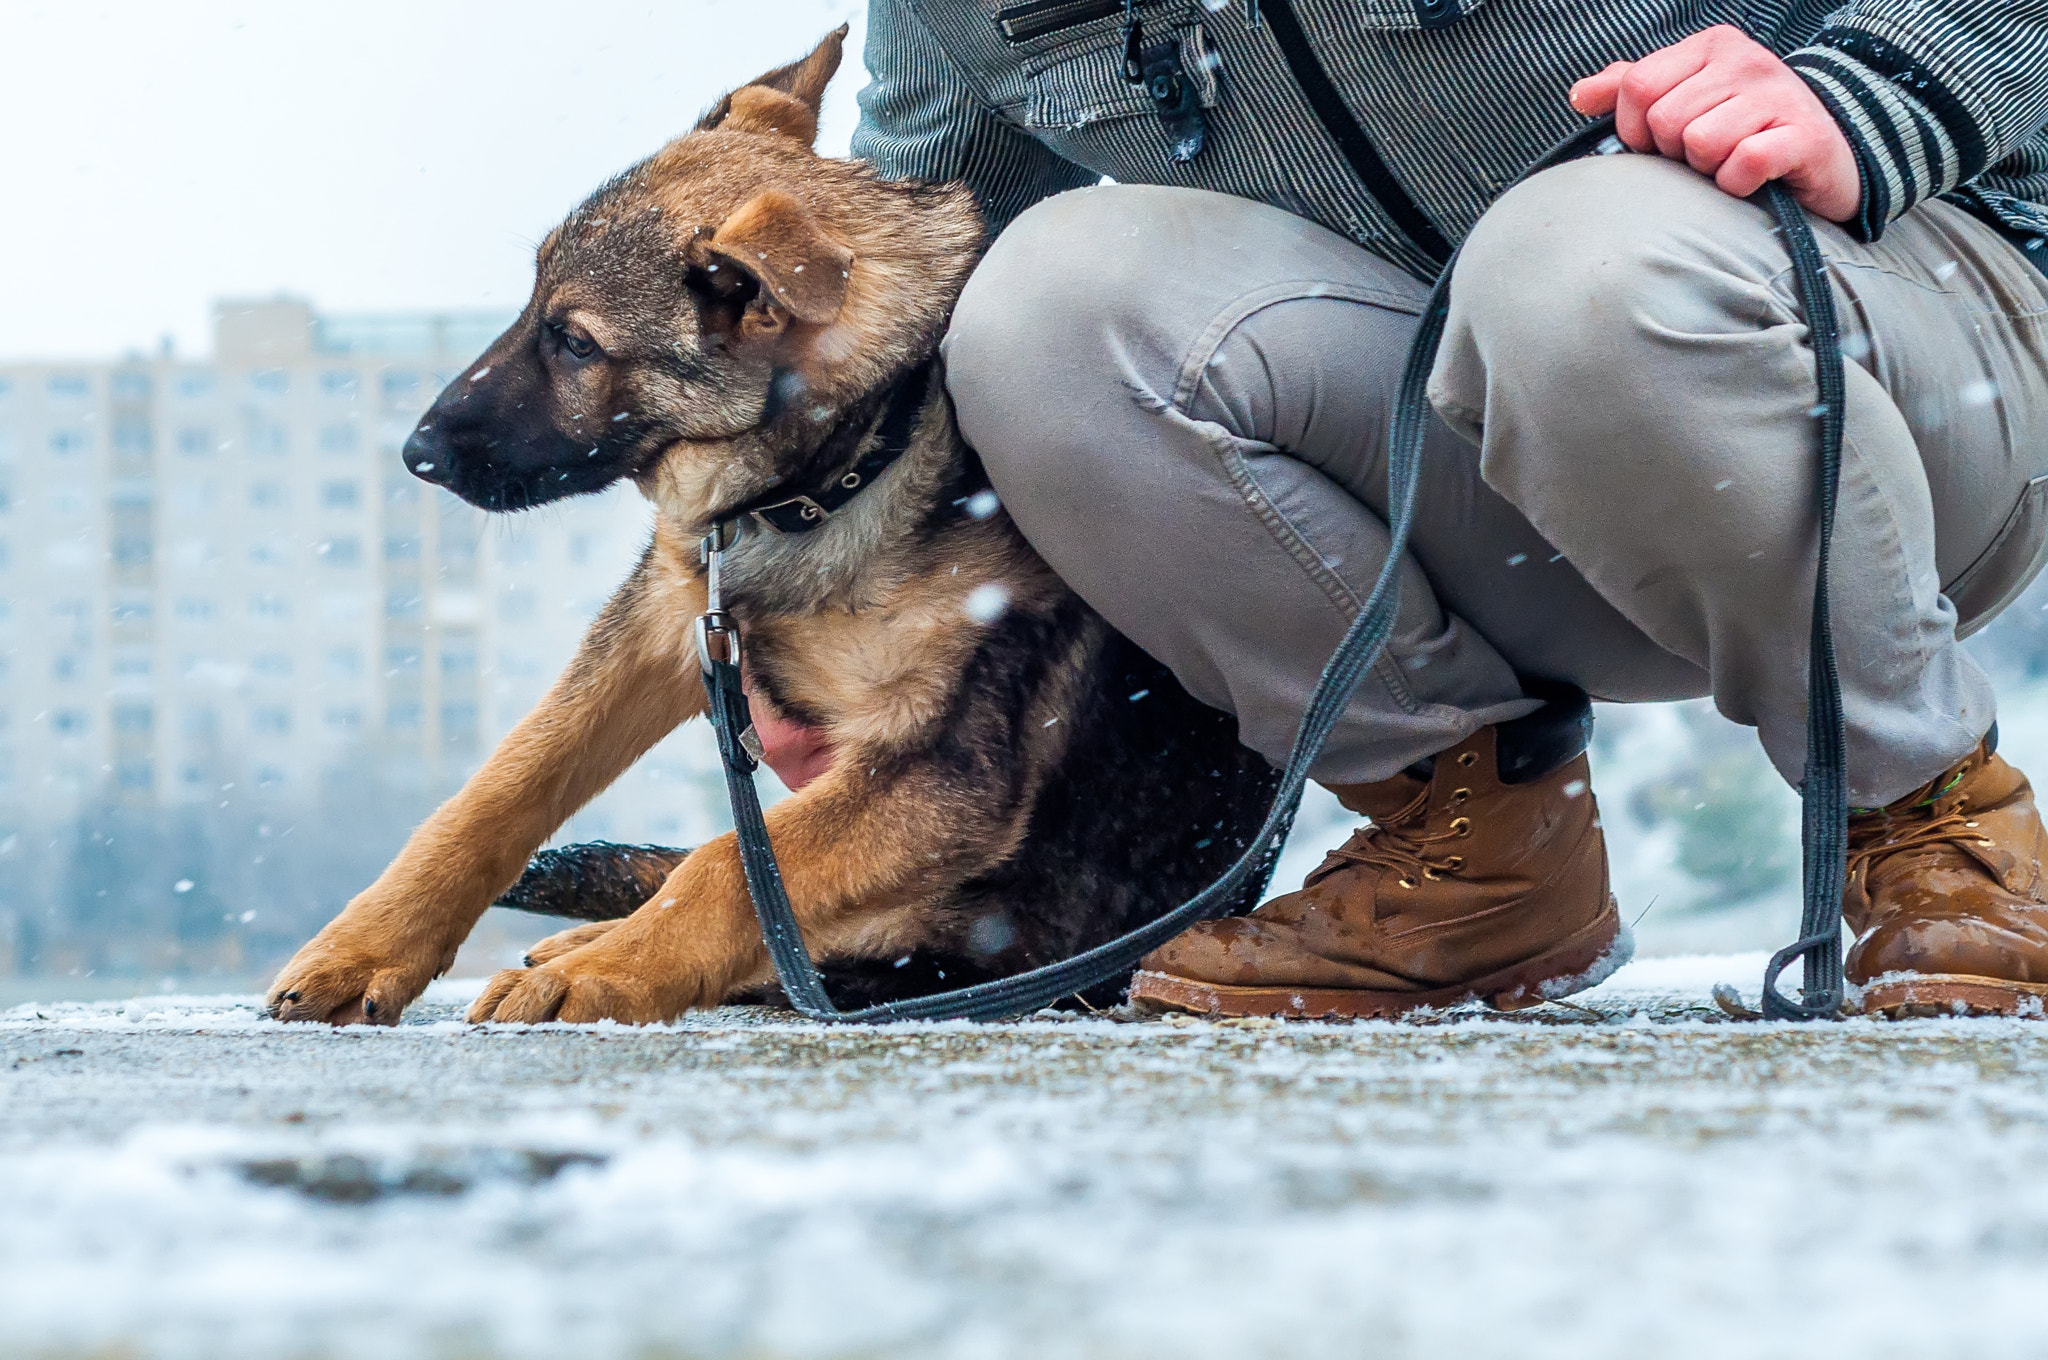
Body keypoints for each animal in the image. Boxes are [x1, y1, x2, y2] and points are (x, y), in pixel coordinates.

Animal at [264, 31, 1269, 1024]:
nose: (415, 454)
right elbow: (499, 786)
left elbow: (727, 868)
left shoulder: (942, 772)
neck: (845, 470)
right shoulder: (666, 621)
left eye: (577, 342)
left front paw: (609, 975)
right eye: (532, 309)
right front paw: (367, 947)